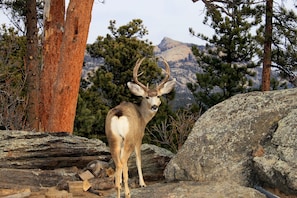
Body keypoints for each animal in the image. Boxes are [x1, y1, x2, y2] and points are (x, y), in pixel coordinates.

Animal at [105, 57, 175, 198]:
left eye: (158, 95)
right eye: (147, 96)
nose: (154, 106)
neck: (143, 117)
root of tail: (118, 115)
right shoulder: (139, 137)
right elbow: (138, 160)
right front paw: (142, 184)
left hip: (113, 139)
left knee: (119, 163)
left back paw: (119, 189)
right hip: (129, 139)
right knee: (122, 162)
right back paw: (127, 193)